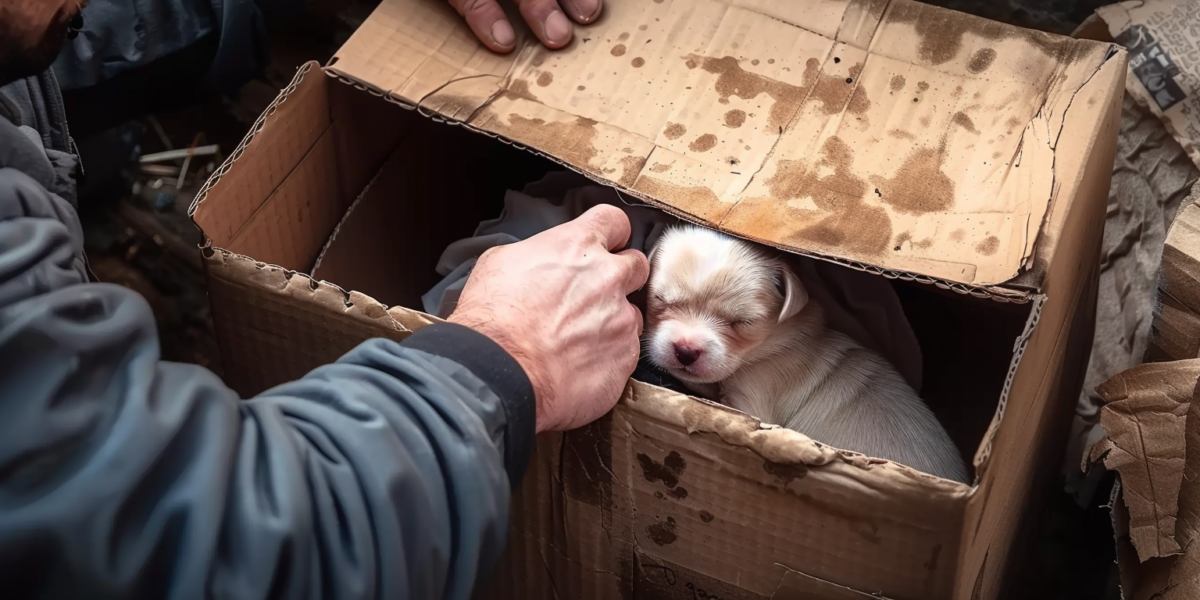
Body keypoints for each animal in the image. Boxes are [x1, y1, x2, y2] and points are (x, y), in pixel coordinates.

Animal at [643, 225, 969, 482]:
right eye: (659, 299)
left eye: (743, 322)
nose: (686, 351)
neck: (775, 341)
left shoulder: (749, 405)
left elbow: (705, 388)